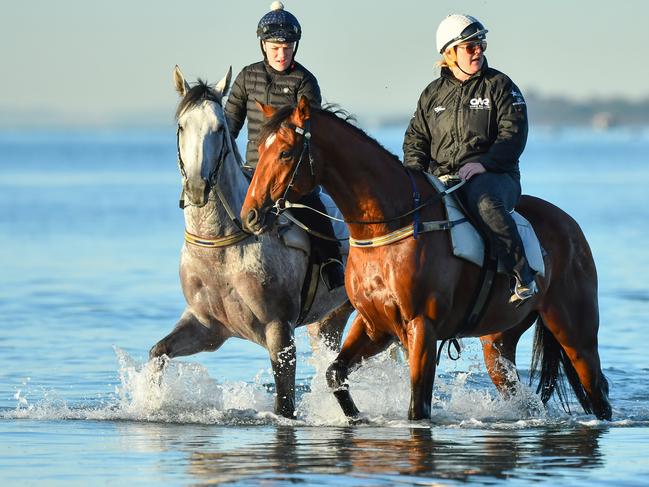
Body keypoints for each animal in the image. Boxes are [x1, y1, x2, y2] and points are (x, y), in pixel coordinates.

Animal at [148, 68, 354, 420]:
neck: (220, 246)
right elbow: (157, 353)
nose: (197, 188)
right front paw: (148, 403)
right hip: (329, 319)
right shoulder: (207, 326)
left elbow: (285, 405)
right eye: (182, 126)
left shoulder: (279, 331)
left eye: (218, 128)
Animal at [239, 97, 612, 422]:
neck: (388, 225)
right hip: (499, 342)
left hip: (575, 332)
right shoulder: (374, 326)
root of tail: (569, 225)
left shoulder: (422, 326)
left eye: (285, 152)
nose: (251, 215)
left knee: (596, 389)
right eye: (259, 149)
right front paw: (356, 417)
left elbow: (418, 407)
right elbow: (335, 374)